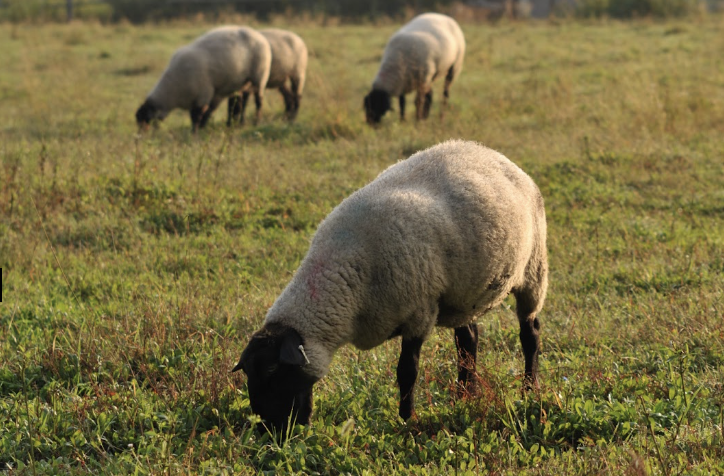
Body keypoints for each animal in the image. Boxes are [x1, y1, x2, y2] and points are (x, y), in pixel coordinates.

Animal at [136, 26, 272, 132]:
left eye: (145, 119)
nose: (140, 136)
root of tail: (259, 36)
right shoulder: (203, 96)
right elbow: (203, 113)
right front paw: (201, 128)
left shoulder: (203, 94)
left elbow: (197, 116)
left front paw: (195, 132)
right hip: (241, 83)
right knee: (239, 103)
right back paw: (236, 124)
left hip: (259, 77)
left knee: (258, 101)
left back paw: (256, 121)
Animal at [233, 139, 548, 434]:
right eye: (248, 374)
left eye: (273, 370)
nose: (268, 429)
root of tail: (493, 153)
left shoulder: (419, 312)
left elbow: (407, 371)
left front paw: (406, 418)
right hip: (463, 293)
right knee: (468, 339)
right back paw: (464, 396)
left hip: (533, 269)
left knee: (529, 333)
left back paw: (529, 389)